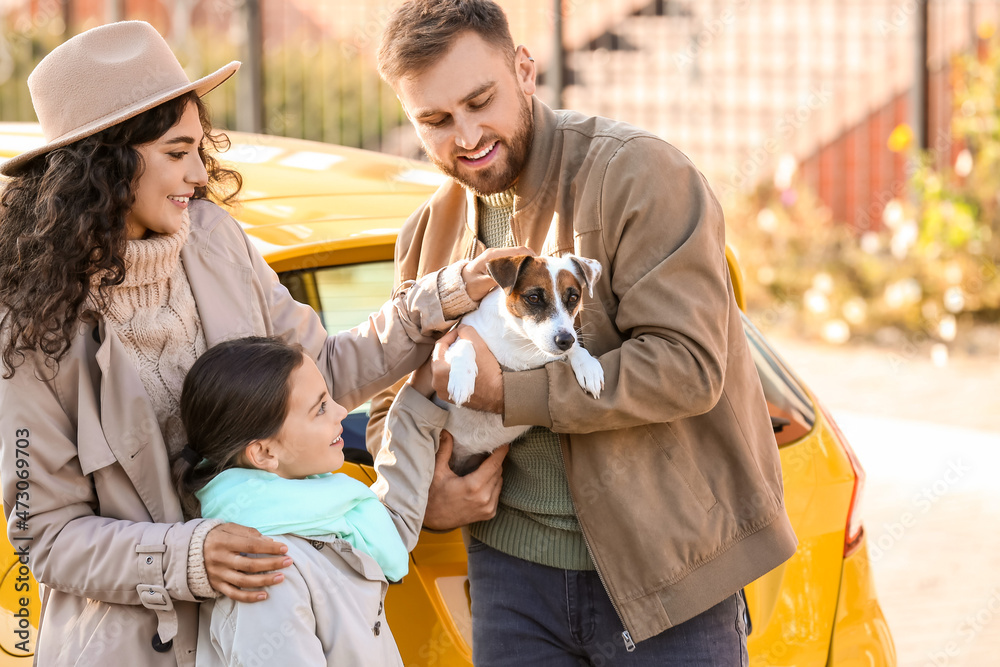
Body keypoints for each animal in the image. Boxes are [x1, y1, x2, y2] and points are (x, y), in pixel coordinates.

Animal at [436, 253, 600, 478]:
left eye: (573, 298)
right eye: (534, 298)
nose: (565, 340)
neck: (522, 343)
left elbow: (577, 350)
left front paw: (589, 367)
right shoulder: (458, 336)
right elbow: (465, 344)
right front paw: (462, 379)